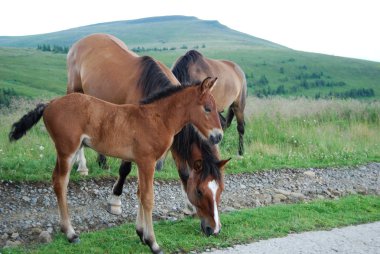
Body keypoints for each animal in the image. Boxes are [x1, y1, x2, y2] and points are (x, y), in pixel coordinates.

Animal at [66, 33, 226, 236]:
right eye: (200, 191)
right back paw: (82, 166)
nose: (214, 229)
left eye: (220, 190)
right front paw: (115, 200)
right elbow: (125, 168)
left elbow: (183, 171)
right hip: (75, 91)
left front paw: (188, 206)